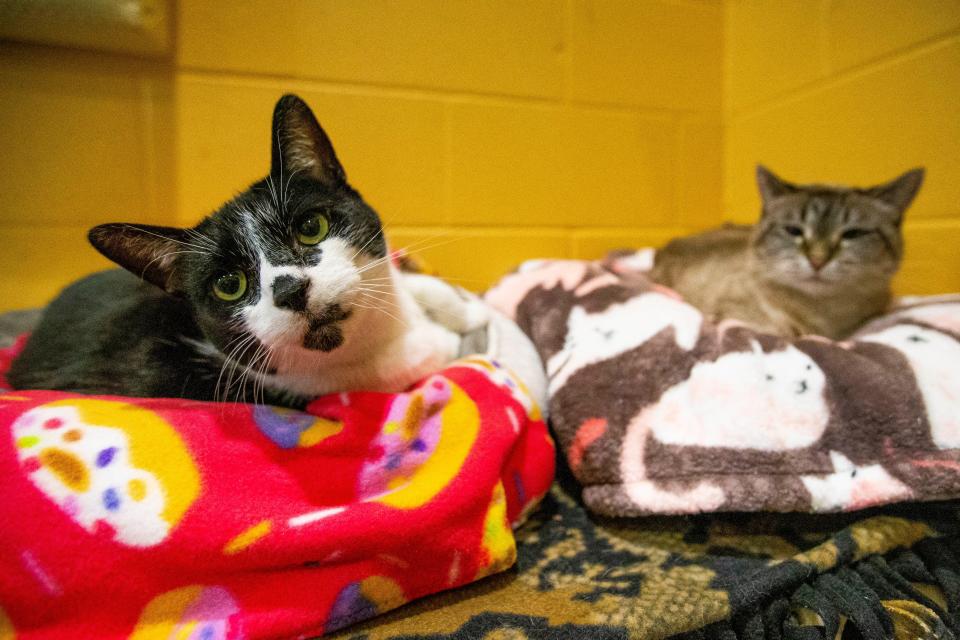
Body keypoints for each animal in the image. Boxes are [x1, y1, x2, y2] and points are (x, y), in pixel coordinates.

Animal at [648, 166, 928, 340]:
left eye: (853, 234)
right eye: (794, 231)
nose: (817, 260)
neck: (822, 315)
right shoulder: (739, 315)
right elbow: (783, 331)